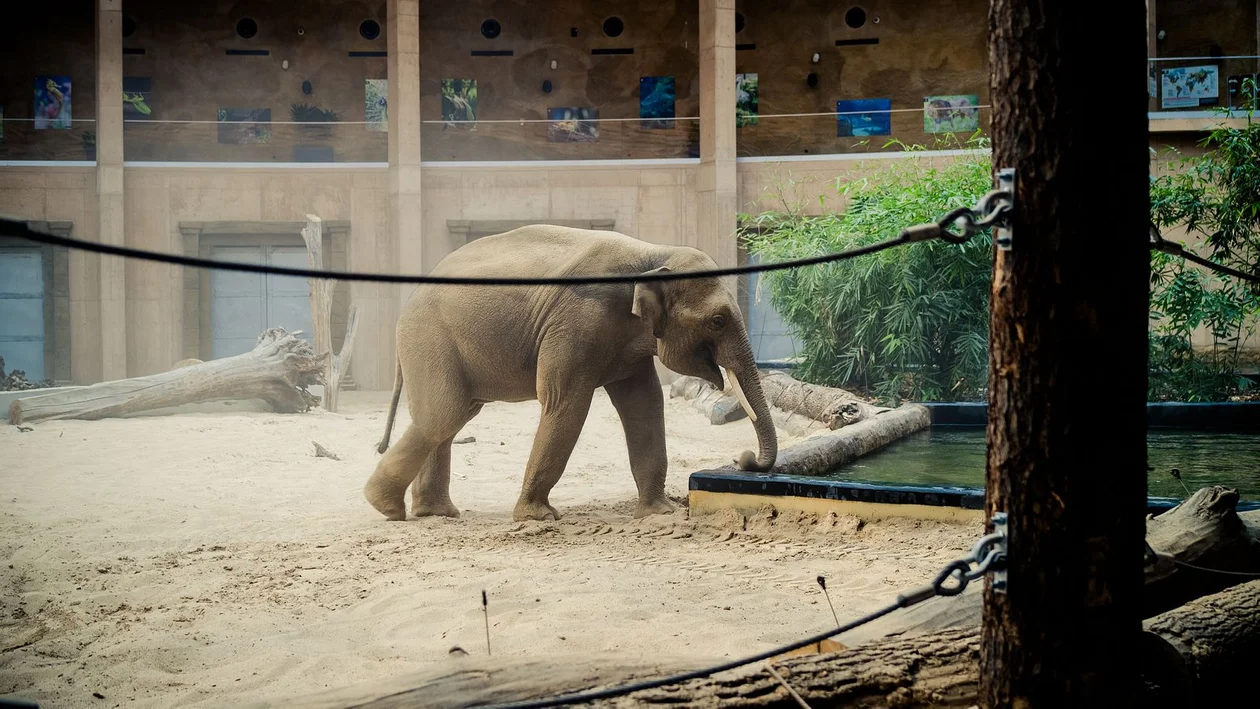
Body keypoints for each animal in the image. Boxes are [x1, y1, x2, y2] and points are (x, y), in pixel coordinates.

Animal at [365, 224, 776, 523]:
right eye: (718, 320)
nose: (744, 458)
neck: (654, 253)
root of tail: (407, 304)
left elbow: (644, 404)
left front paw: (659, 514)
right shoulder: (576, 322)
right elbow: (566, 403)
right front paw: (538, 518)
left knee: (450, 417)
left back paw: (436, 515)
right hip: (429, 339)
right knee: (444, 415)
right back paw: (386, 508)